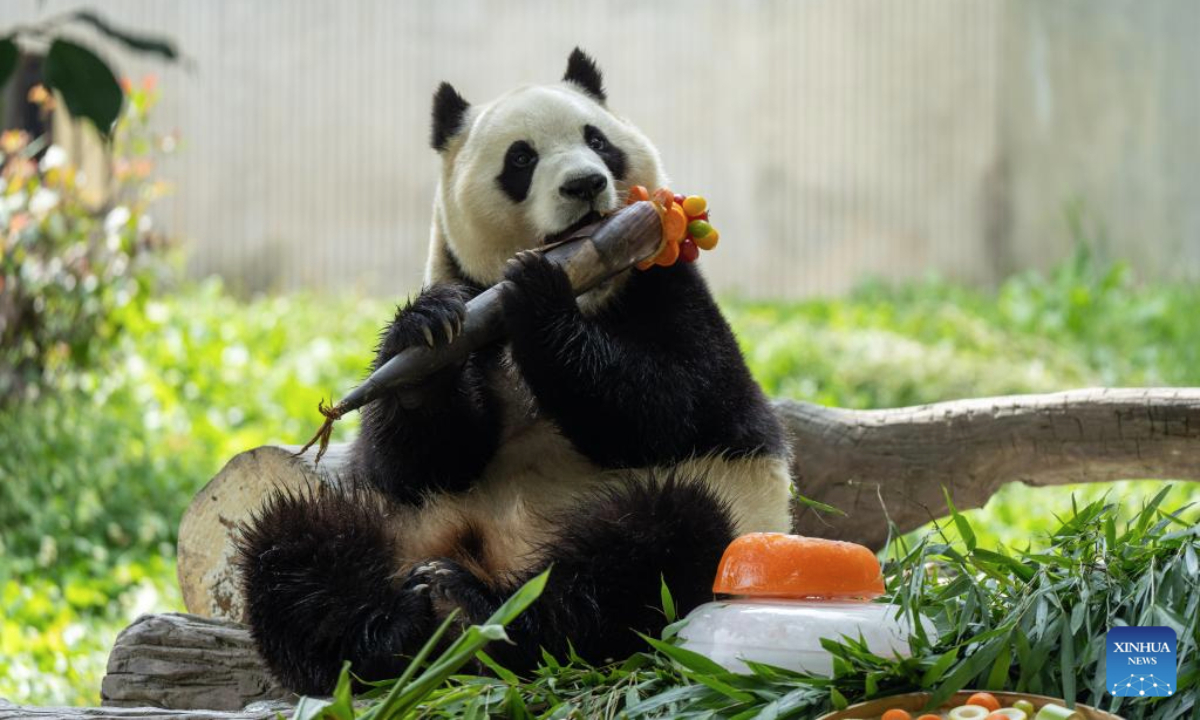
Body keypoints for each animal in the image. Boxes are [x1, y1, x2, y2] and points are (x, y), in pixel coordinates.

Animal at [237, 48, 793, 695]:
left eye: (598, 140)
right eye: (521, 158)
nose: (585, 184)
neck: (588, 282)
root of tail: (492, 556)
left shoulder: (668, 292)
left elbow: (675, 406)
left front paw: (536, 295)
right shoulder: (463, 301)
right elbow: (415, 462)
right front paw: (425, 336)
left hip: (727, 515)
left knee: (650, 550)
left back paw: (486, 612)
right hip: (402, 528)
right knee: (291, 545)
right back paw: (396, 634)